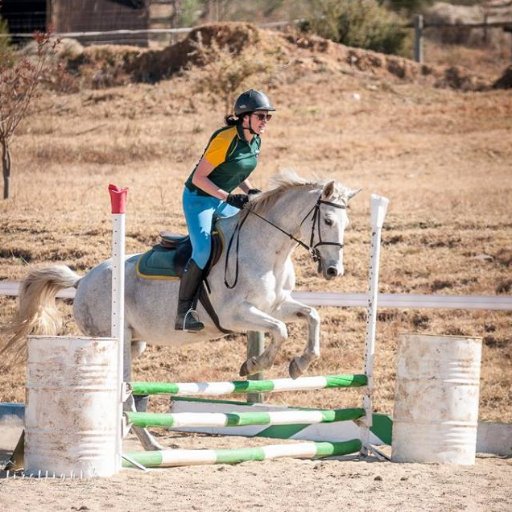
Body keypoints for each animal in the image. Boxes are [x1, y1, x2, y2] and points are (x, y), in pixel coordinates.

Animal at [1, 171, 360, 448]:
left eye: (346, 223)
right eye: (328, 220)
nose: (333, 271)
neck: (267, 250)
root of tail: (81, 281)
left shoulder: (277, 305)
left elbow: (311, 316)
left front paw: (300, 364)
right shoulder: (235, 314)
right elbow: (280, 330)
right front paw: (255, 363)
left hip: (136, 344)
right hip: (116, 342)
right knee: (126, 397)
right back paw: (149, 445)